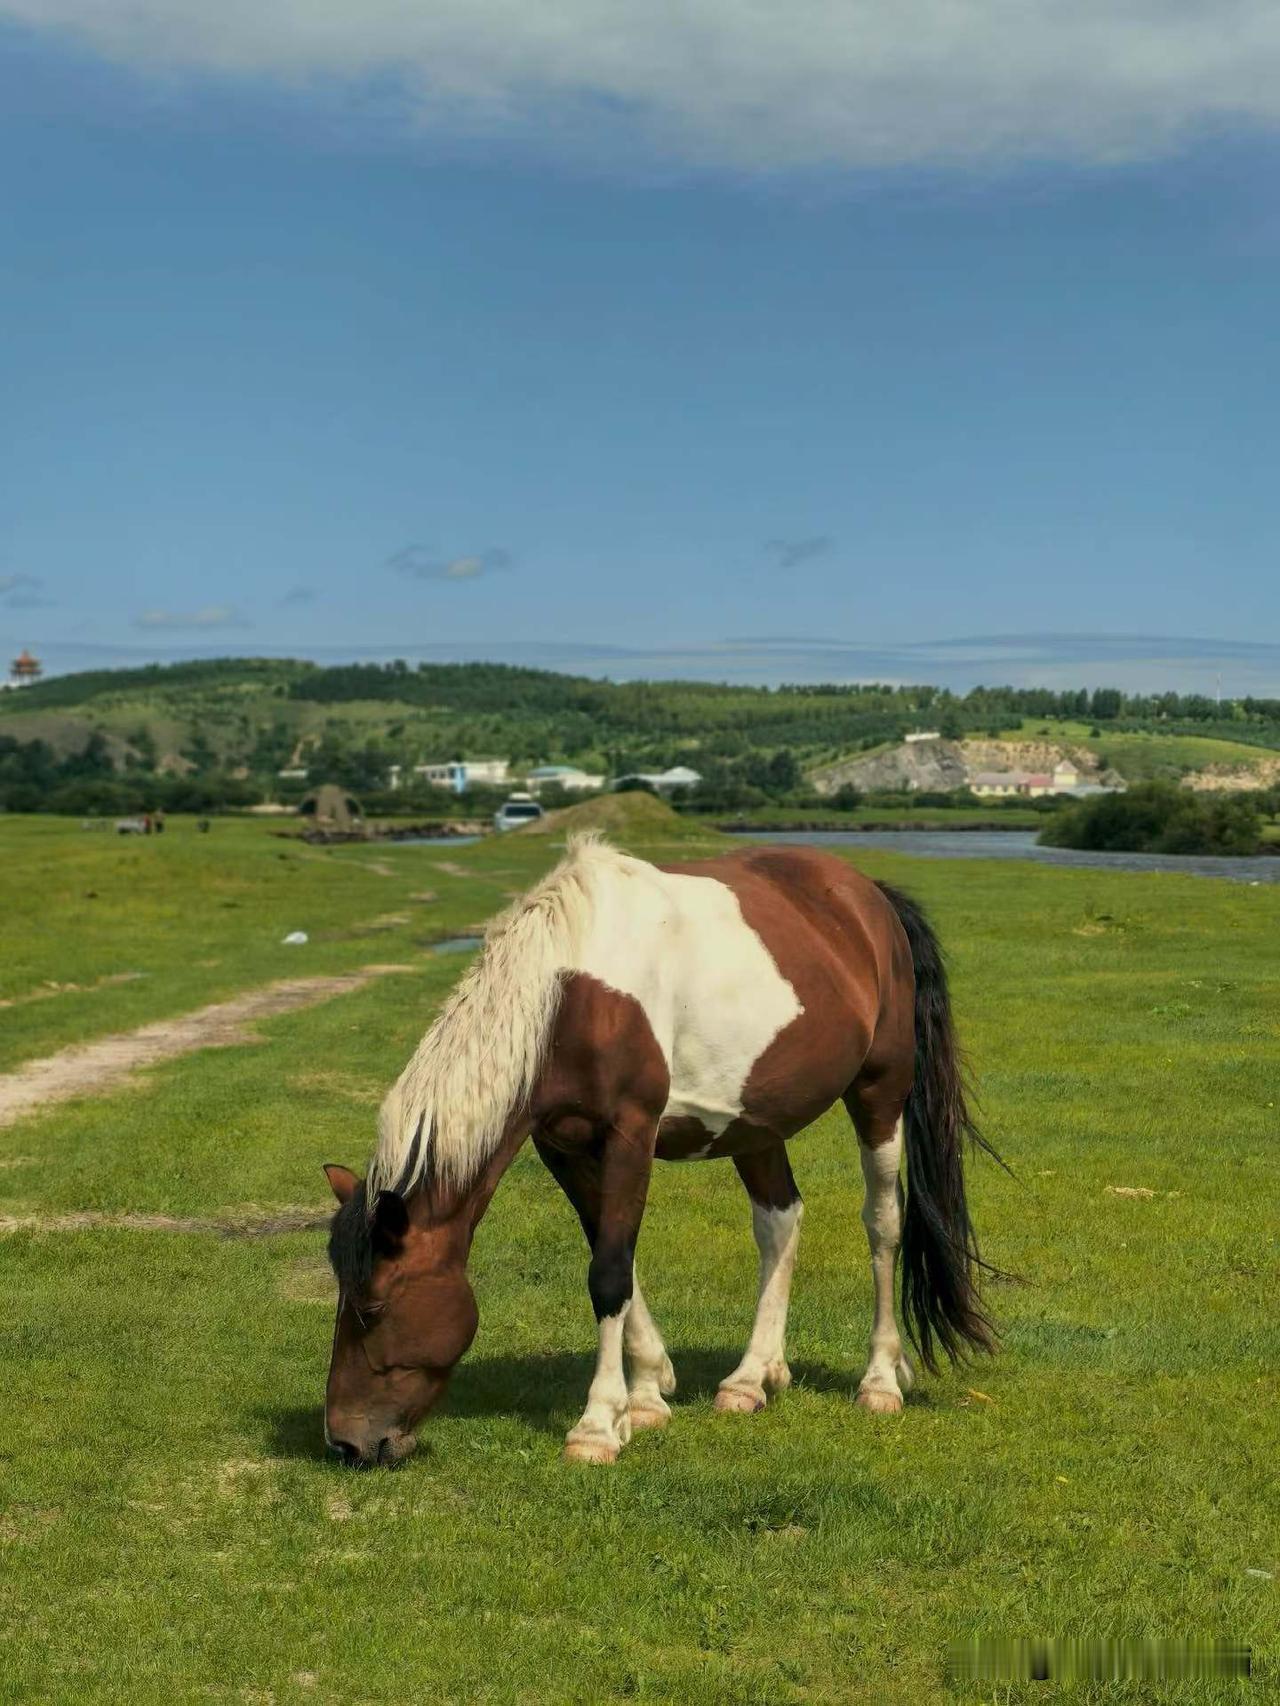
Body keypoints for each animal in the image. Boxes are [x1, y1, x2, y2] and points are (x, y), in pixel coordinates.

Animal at [322, 833, 999, 1466]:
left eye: (373, 1307)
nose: (347, 1442)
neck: (573, 995)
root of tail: (868, 897)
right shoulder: (564, 1147)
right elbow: (614, 1257)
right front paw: (647, 1393)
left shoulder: (631, 1132)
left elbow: (608, 1273)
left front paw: (597, 1425)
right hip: (754, 1123)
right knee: (780, 1220)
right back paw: (753, 1377)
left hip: (880, 1093)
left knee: (883, 1223)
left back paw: (880, 1379)